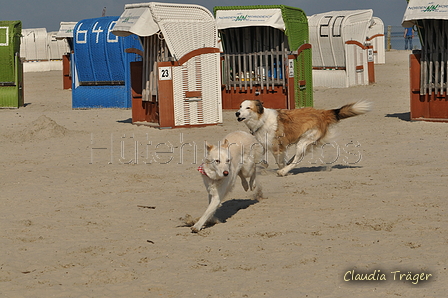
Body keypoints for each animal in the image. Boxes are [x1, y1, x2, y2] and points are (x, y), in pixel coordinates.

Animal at [234, 100, 372, 176]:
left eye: (248, 107)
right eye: (240, 106)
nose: (237, 113)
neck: (262, 120)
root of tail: (322, 113)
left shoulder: (277, 148)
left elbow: (279, 161)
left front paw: (281, 169)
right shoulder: (264, 144)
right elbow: (259, 156)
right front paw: (264, 164)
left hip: (304, 141)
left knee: (298, 159)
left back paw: (284, 171)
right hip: (306, 141)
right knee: (298, 156)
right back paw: (288, 163)